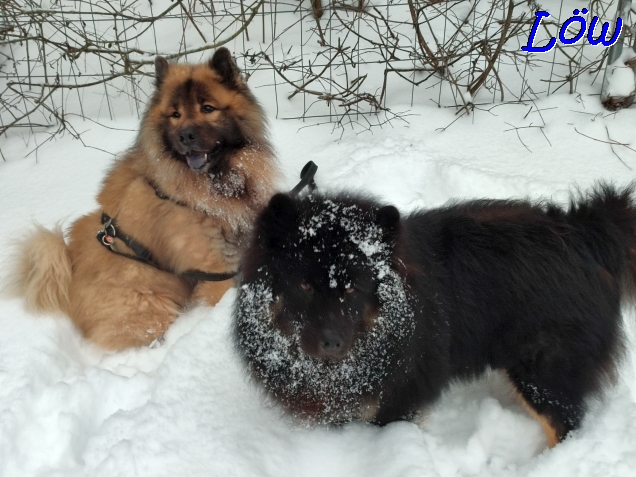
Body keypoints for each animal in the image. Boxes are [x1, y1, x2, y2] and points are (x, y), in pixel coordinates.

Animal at [16, 48, 280, 348]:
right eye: (175, 114)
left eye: (207, 108)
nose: (185, 136)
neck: (217, 181)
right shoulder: (214, 269)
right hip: (150, 309)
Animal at [235, 183, 636, 446]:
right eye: (304, 286)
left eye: (351, 290)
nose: (331, 343)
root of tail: (586, 234)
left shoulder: (399, 398)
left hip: (543, 371)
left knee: (565, 425)